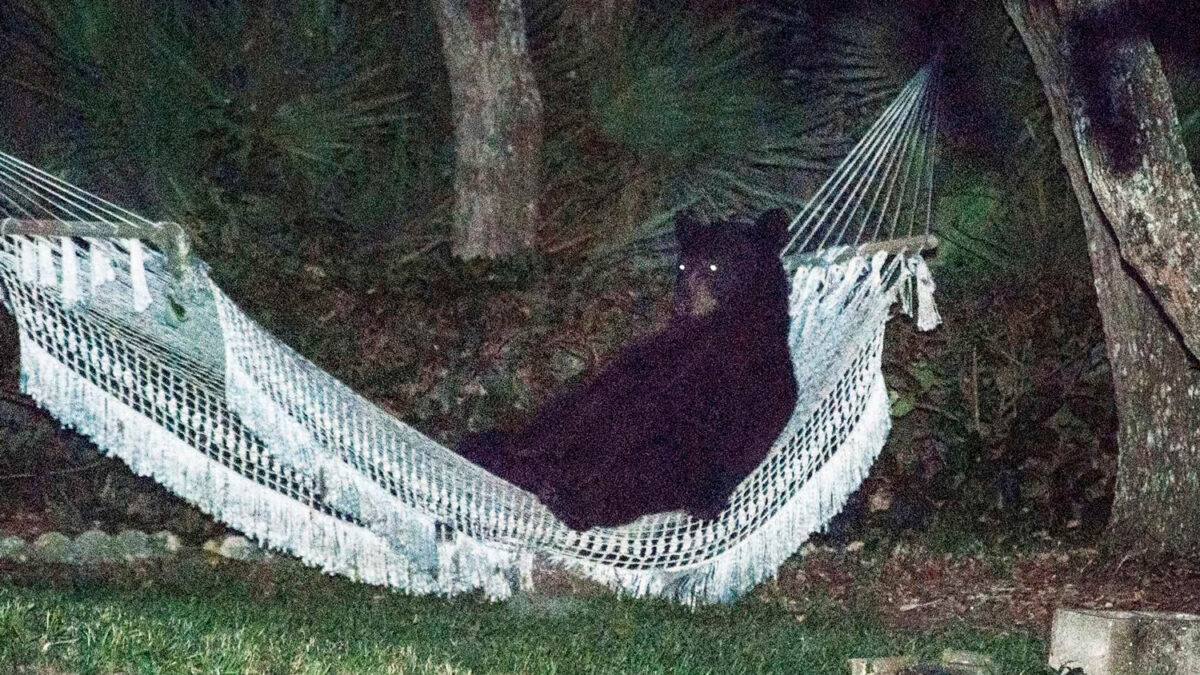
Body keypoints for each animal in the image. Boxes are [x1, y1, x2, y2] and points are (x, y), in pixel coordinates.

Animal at [456, 207, 796, 528]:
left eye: (714, 266)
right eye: (682, 266)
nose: (682, 301)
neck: (719, 326)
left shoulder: (733, 378)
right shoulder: (650, 360)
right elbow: (593, 404)